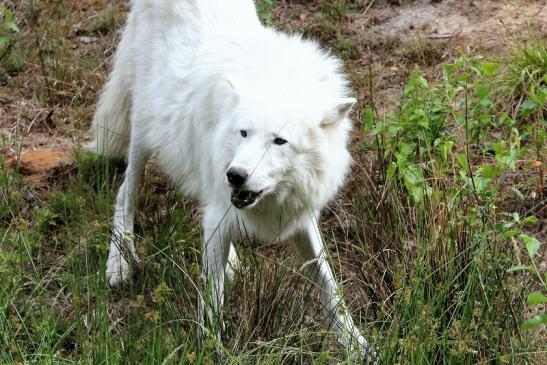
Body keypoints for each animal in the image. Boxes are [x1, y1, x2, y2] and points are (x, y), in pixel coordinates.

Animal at [92, 0, 370, 356]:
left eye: (279, 141)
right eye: (244, 133)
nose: (235, 176)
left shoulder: (298, 216)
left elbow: (330, 288)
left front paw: (359, 345)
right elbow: (212, 299)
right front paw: (210, 349)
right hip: (146, 127)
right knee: (125, 191)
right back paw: (120, 262)